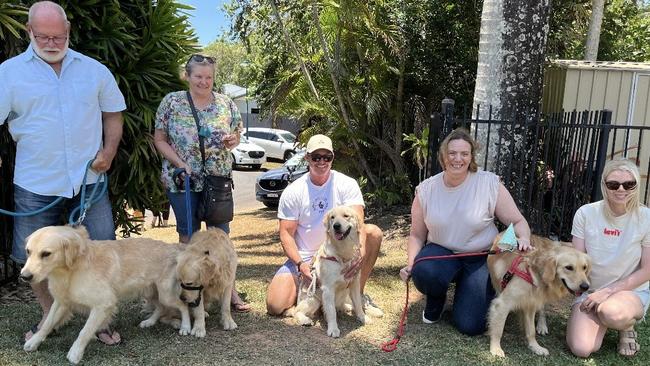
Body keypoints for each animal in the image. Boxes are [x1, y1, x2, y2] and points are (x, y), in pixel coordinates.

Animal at [18, 226, 190, 364]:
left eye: (46, 254)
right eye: (28, 251)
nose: (24, 277)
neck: (71, 269)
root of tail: (173, 247)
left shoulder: (103, 303)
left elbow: (85, 331)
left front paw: (75, 352)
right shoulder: (62, 301)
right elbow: (47, 323)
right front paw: (34, 341)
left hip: (166, 293)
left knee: (182, 305)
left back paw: (186, 327)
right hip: (151, 292)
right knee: (161, 308)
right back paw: (149, 322)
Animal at [288, 206, 380, 338]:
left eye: (346, 216)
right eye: (332, 217)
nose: (336, 226)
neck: (343, 253)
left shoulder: (354, 284)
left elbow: (357, 304)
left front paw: (363, 317)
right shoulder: (328, 289)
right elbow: (331, 312)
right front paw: (333, 329)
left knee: (345, 305)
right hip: (314, 299)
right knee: (297, 311)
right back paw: (305, 320)